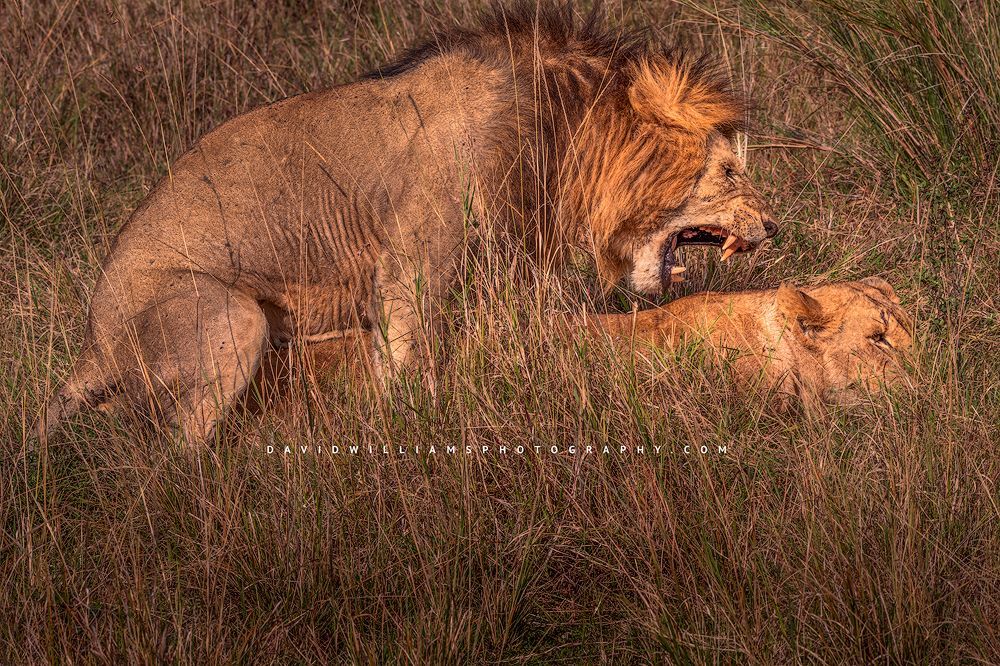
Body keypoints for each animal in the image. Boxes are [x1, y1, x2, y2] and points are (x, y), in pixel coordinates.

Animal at [40, 3, 777, 442]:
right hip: (227, 318)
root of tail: (91, 343)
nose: (774, 225)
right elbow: (406, 356)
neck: (563, 131)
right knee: (168, 452)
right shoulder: (413, 259)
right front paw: (417, 433)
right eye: (727, 171)